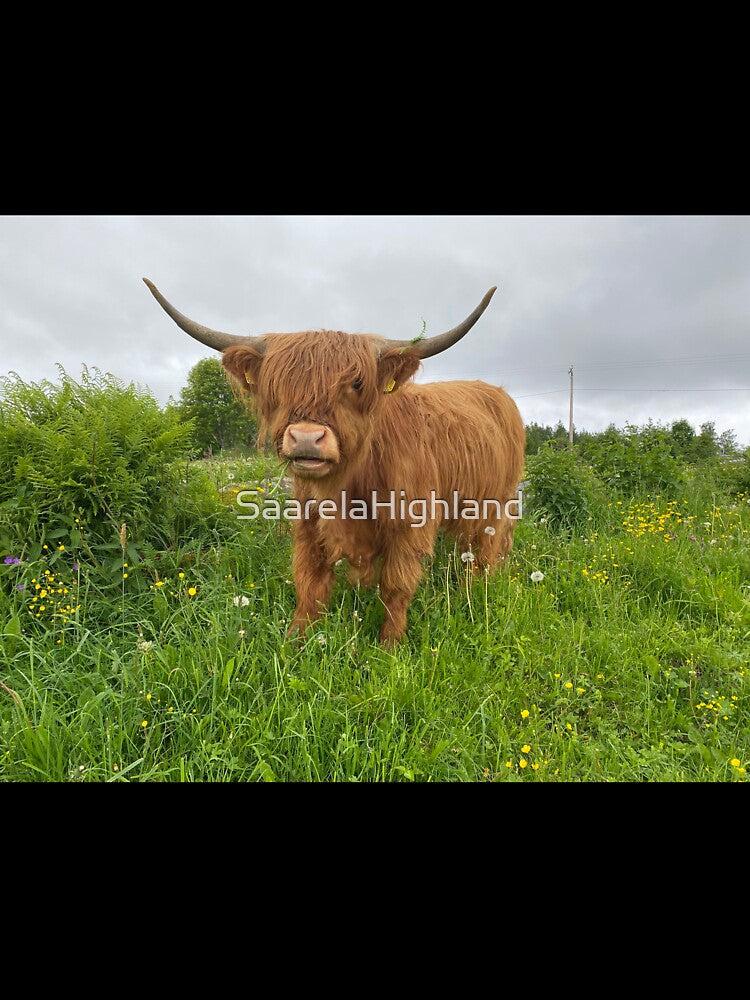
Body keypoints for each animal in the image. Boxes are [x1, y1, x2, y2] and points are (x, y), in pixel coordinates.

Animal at [144, 279, 525, 646]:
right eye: (275, 384)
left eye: (356, 382)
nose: (306, 437)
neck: (349, 489)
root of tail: (497, 392)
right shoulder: (310, 522)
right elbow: (309, 583)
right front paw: (295, 641)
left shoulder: (409, 525)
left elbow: (396, 586)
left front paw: (390, 645)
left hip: (496, 502)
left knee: (487, 548)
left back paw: (476, 589)